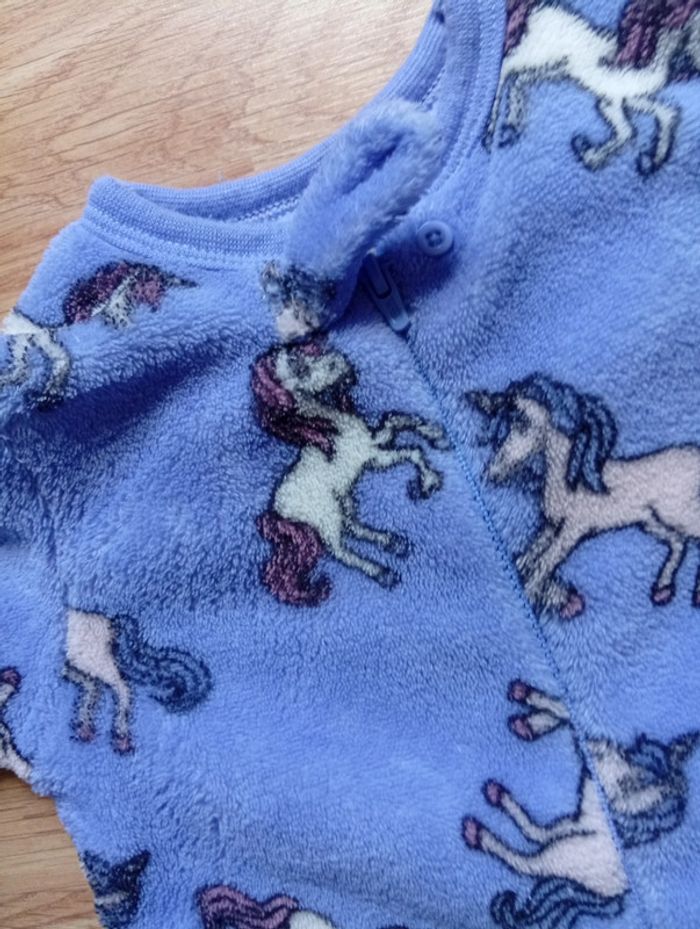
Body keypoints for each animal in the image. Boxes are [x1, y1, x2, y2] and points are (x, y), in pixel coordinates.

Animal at [63, 608, 212, 754]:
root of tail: (110, 623)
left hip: (96, 661)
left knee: (120, 687)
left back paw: (120, 738)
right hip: (82, 662)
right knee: (93, 685)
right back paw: (86, 729)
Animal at [253, 340, 448, 606]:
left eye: (307, 352)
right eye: (300, 369)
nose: (338, 361)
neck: (334, 427)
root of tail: (276, 509)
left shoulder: (374, 442)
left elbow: (398, 420)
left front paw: (436, 435)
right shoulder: (371, 456)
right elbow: (411, 452)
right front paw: (428, 482)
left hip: (341, 500)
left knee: (352, 525)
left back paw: (392, 542)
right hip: (325, 515)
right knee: (339, 550)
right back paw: (382, 572)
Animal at [463, 680, 698, 928]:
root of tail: (617, 892)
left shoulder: (598, 756)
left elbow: (569, 717)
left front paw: (528, 707)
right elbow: (571, 719)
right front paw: (530, 721)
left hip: (568, 853)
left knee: (526, 862)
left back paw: (478, 834)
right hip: (574, 828)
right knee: (537, 833)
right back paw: (497, 795)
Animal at [467, 374, 700, 618]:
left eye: (523, 423)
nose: (493, 472)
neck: (569, 481)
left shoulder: (572, 530)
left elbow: (545, 563)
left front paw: (534, 596)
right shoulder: (550, 526)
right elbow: (529, 557)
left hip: (676, 513)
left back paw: (695, 594)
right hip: (651, 522)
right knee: (678, 543)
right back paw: (662, 589)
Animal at [485, 0, 700, 173]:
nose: (691, 68)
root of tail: (541, 8)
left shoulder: (631, 99)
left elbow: (666, 113)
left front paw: (651, 161)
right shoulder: (611, 101)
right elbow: (627, 131)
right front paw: (588, 154)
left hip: (555, 67)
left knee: (519, 78)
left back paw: (511, 126)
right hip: (537, 53)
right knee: (507, 66)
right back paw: (489, 133)